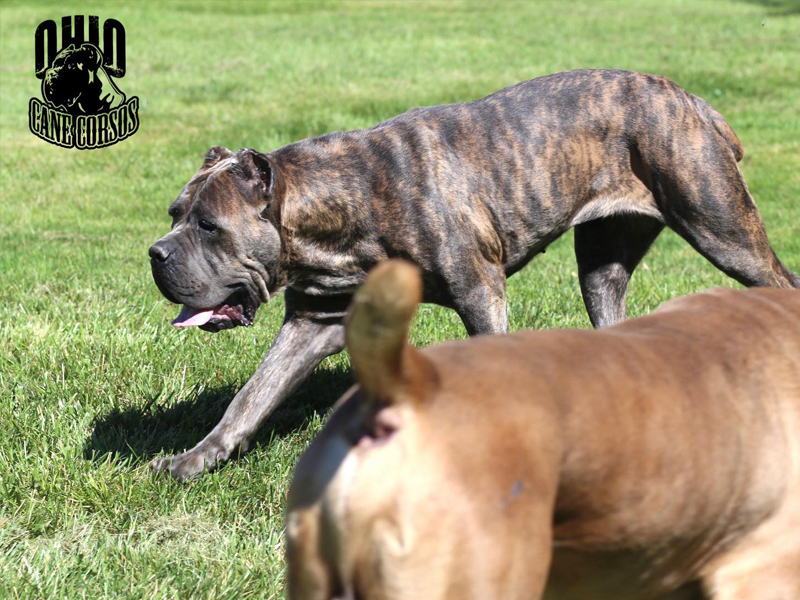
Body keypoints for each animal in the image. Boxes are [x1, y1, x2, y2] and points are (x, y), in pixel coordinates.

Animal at [149, 69, 799, 480]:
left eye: (209, 225)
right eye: (175, 215)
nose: (156, 253)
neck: (343, 206)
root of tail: (693, 102)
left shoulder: (480, 292)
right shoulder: (314, 321)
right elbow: (250, 398)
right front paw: (193, 459)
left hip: (721, 228)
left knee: (779, 284)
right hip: (603, 264)